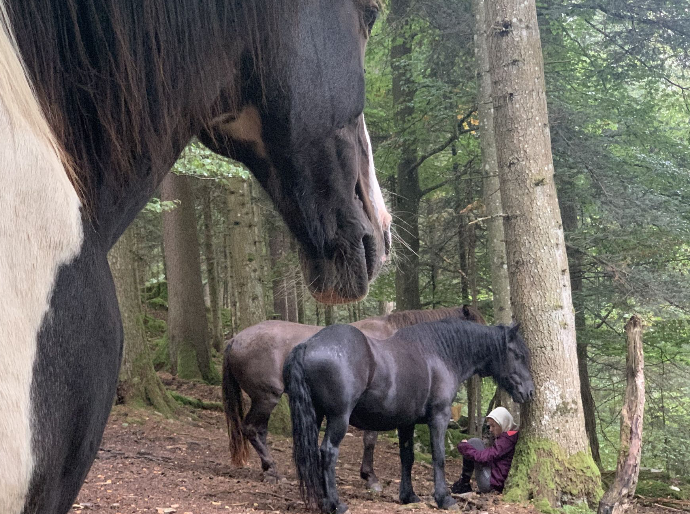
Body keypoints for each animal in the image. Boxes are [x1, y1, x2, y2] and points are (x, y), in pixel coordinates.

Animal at [222, 305, 486, 489]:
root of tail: (236, 339)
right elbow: (370, 439)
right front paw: (370, 477)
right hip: (266, 397)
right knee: (252, 429)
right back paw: (272, 470)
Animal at [283, 319, 535, 514]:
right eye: (518, 355)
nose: (530, 391)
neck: (440, 354)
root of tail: (308, 345)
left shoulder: (406, 423)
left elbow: (407, 457)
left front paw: (408, 496)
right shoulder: (439, 417)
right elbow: (438, 457)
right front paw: (444, 498)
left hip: (315, 416)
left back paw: (322, 501)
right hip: (338, 418)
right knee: (328, 452)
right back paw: (335, 504)